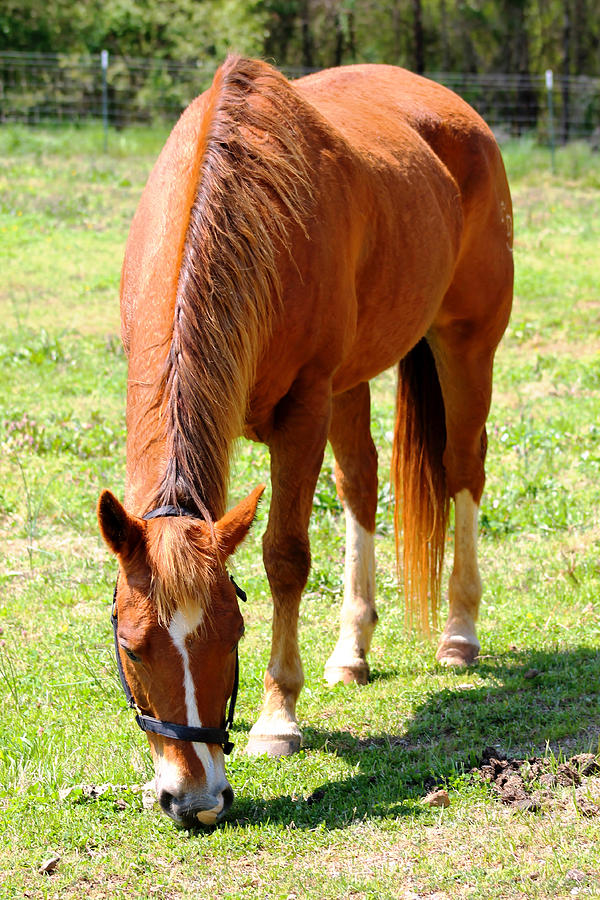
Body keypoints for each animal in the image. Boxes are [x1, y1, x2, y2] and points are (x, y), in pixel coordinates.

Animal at [96, 56, 512, 828]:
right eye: (132, 648)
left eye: (233, 634)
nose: (195, 799)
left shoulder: (303, 411)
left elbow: (285, 558)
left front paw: (277, 719)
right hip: (355, 380)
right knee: (361, 486)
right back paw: (352, 650)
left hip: (467, 344)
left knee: (463, 469)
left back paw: (459, 633)